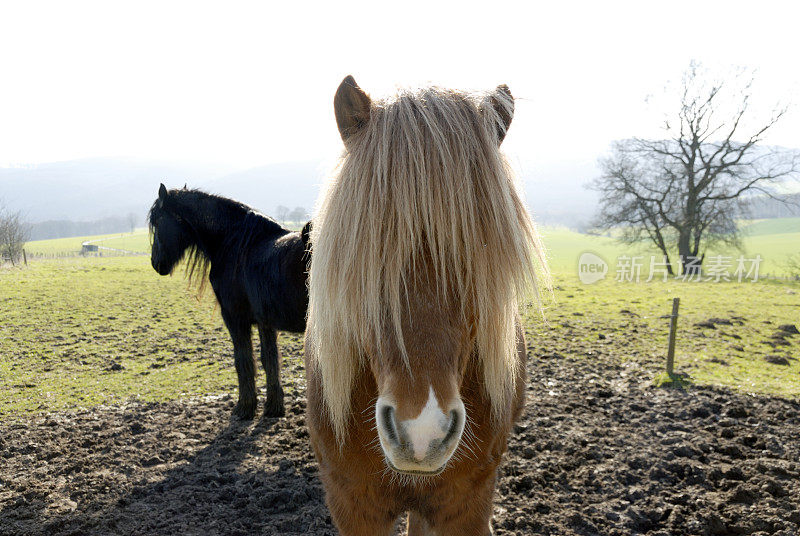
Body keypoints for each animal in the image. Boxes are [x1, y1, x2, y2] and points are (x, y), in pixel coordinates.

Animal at [148, 184, 310, 418]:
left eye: (158, 221)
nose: (156, 263)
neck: (235, 244)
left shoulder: (234, 318)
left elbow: (243, 360)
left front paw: (244, 408)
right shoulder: (265, 321)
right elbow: (270, 360)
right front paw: (273, 407)